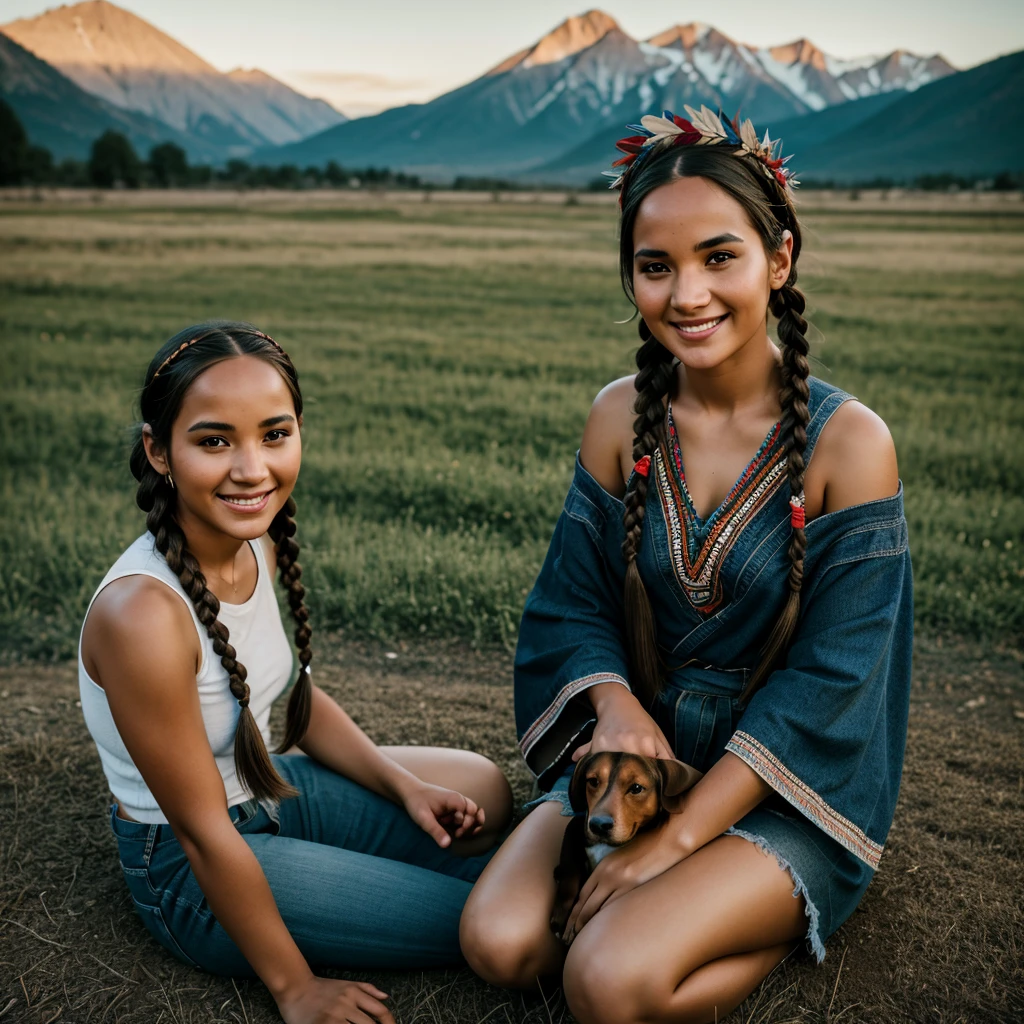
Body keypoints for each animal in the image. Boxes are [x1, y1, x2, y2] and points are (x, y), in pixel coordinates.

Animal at [552, 749, 704, 937]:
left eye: (636, 788)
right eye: (593, 781)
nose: (598, 825)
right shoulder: (576, 826)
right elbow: (570, 869)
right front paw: (560, 914)